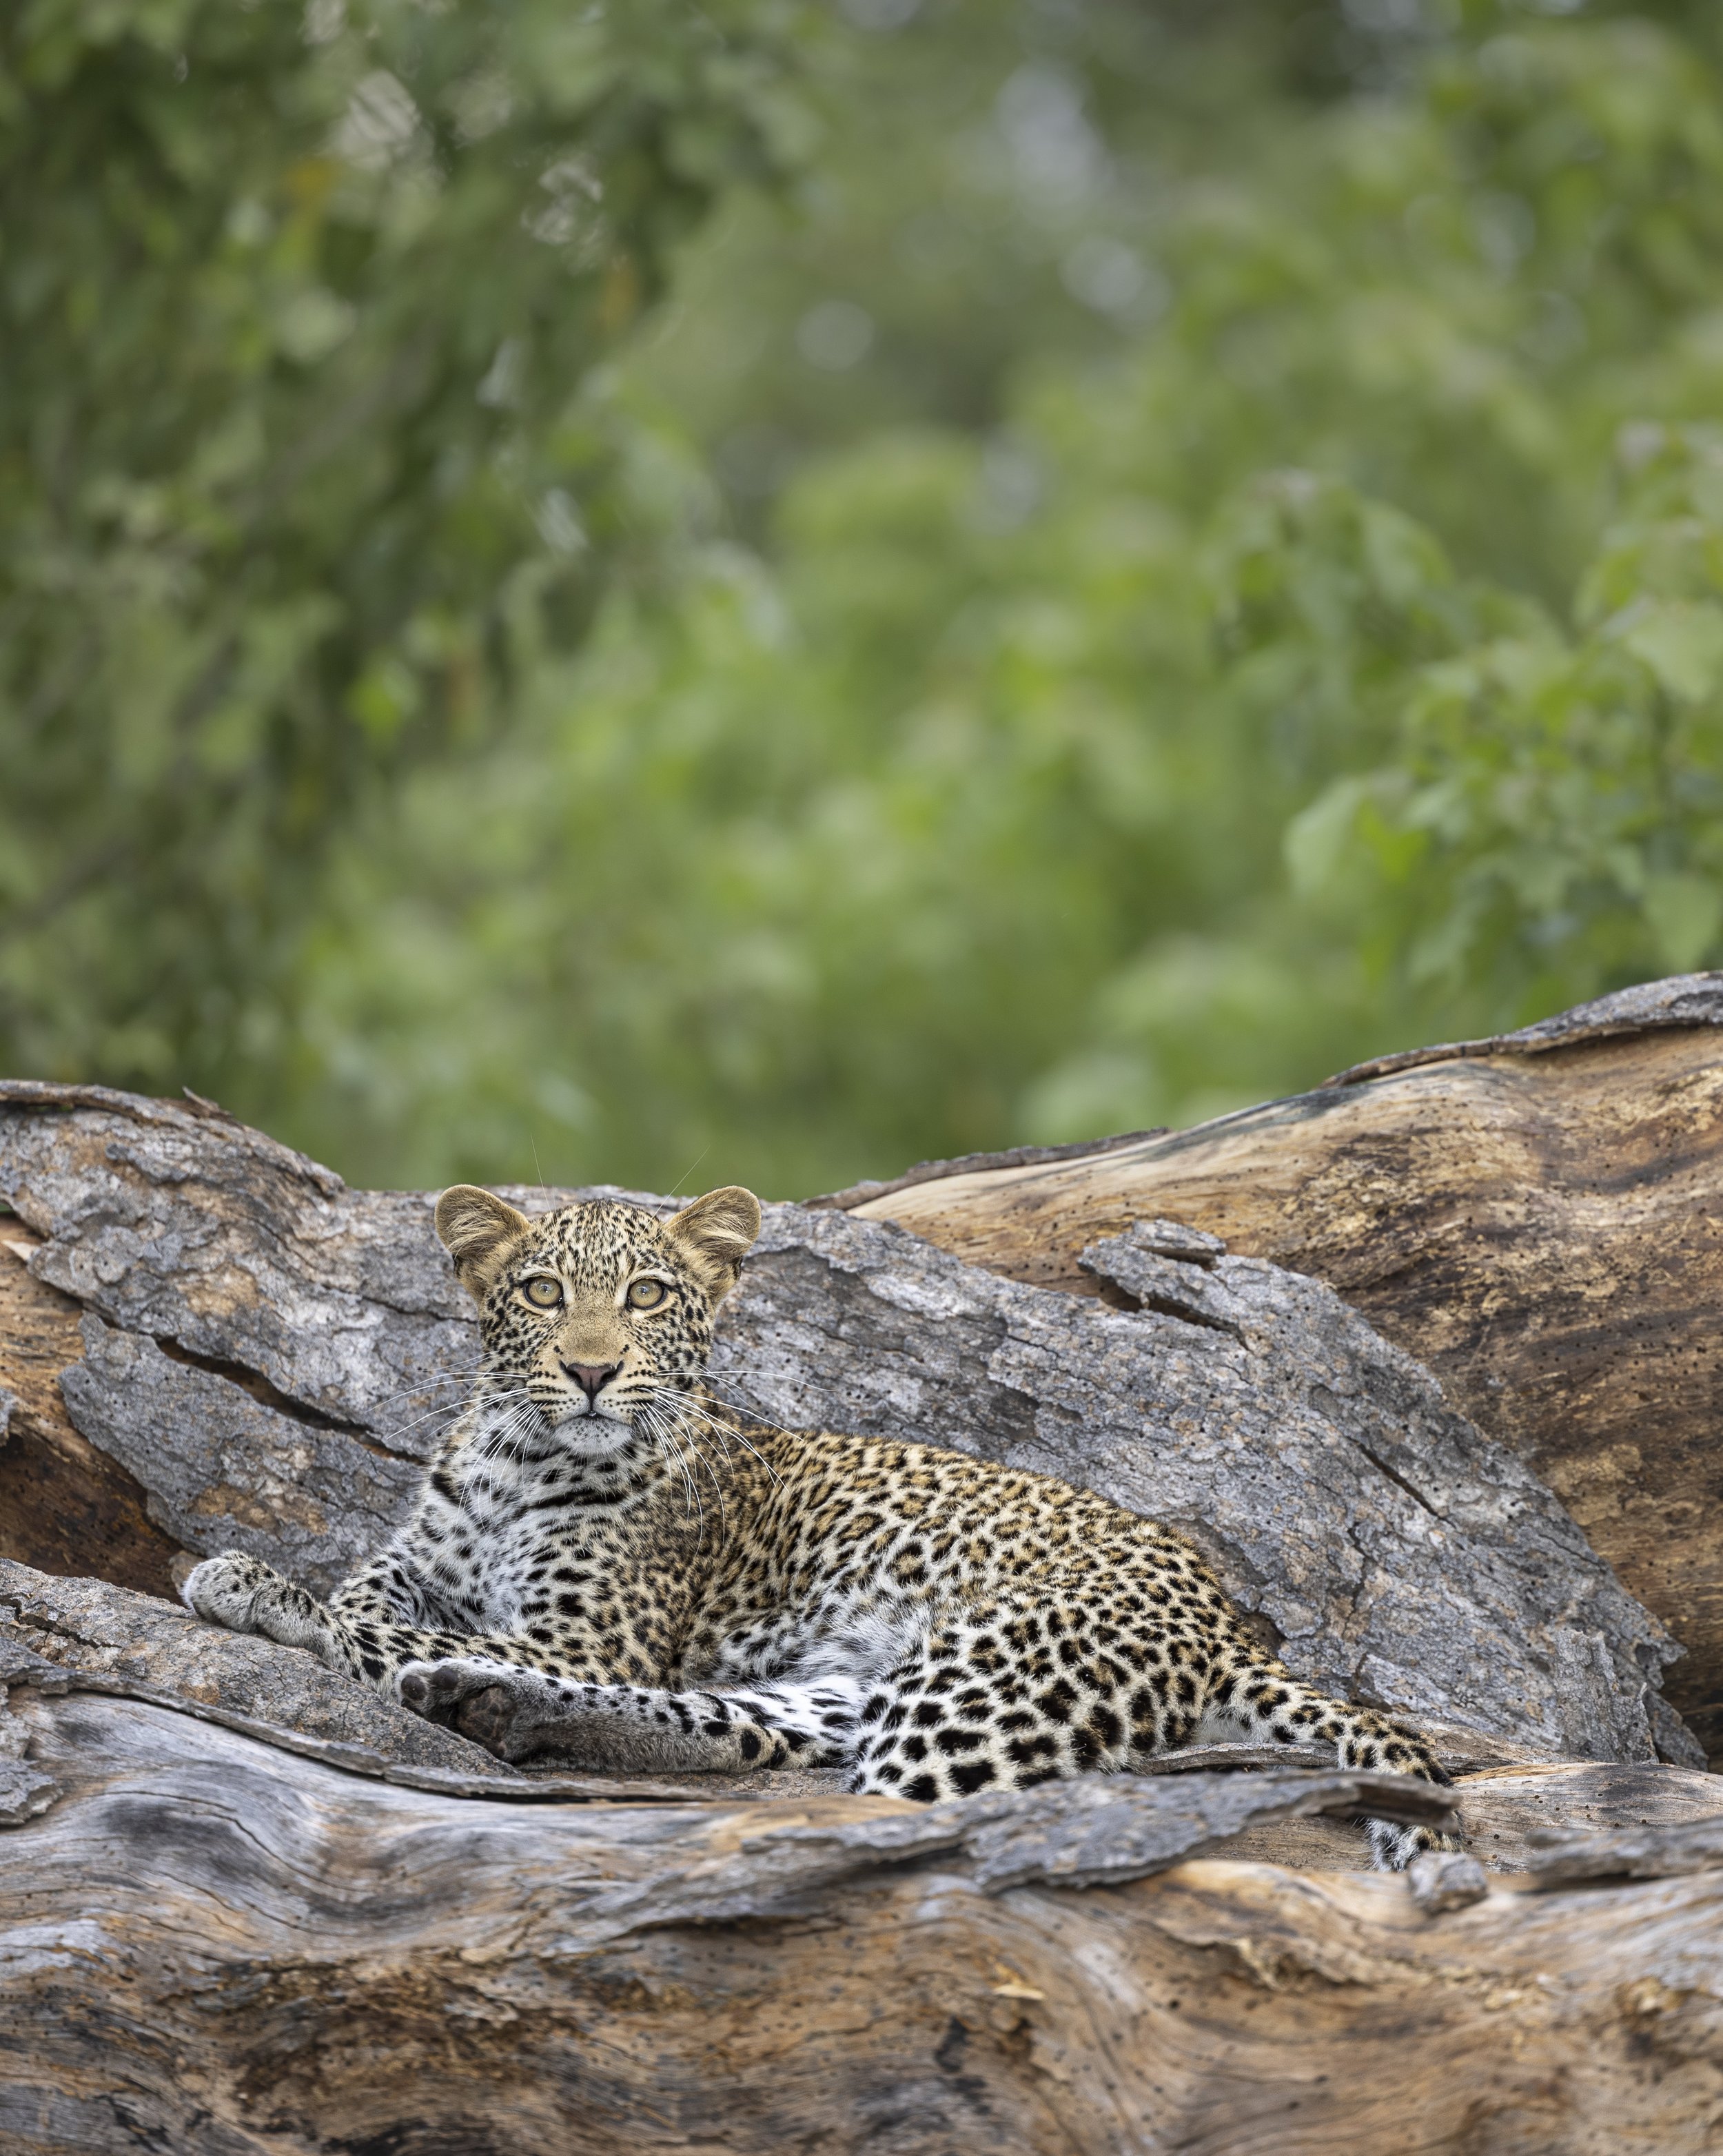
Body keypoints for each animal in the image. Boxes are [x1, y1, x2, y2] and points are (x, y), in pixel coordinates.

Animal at [182, 1181, 1461, 1867]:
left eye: (649, 1295)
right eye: (541, 1292)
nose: (591, 1371)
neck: (516, 1460)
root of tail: (1228, 1622)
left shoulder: (594, 1634)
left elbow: (378, 1620)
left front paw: (289, 1601)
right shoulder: (442, 1562)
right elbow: (378, 1590)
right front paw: (274, 1586)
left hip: (979, 1679)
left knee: (877, 1829)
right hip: (858, 1682)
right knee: (736, 1733)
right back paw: (494, 1707)